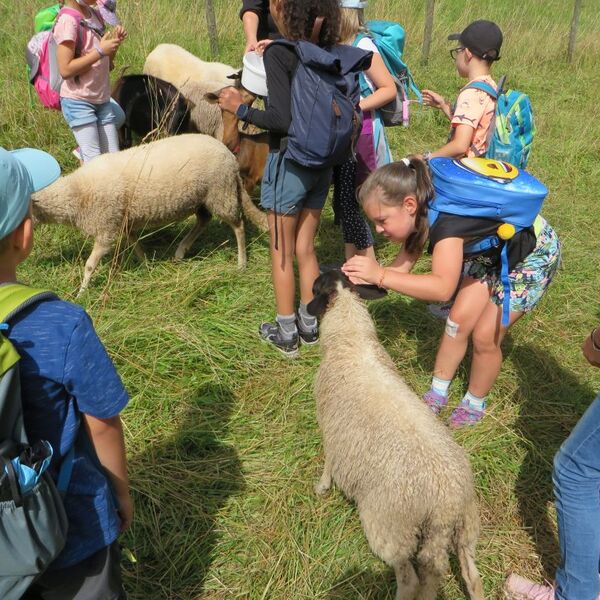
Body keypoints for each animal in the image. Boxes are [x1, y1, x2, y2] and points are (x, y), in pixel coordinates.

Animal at [32, 135, 268, 296]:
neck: (75, 193)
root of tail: (230, 157)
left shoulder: (106, 229)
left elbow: (90, 265)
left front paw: (82, 292)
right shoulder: (122, 222)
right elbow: (134, 242)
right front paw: (146, 265)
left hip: (220, 191)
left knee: (238, 226)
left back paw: (241, 263)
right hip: (205, 196)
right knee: (203, 220)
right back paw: (180, 252)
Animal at [308, 272, 486, 600]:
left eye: (314, 288)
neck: (352, 341)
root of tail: (446, 504)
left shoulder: (330, 425)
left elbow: (329, 460)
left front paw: (323, 486)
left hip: (393, 528)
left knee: (409, 579)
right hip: (466, 527)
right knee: (469, 576)